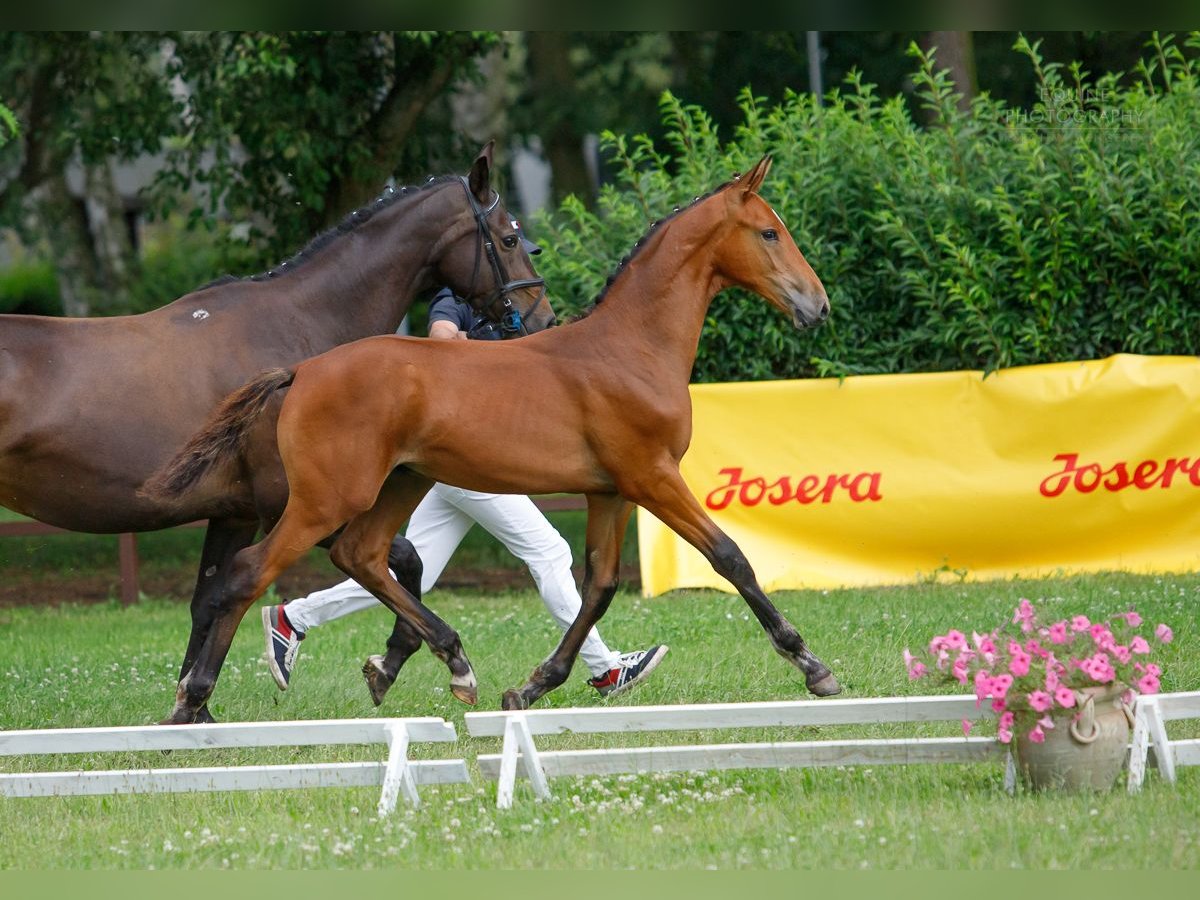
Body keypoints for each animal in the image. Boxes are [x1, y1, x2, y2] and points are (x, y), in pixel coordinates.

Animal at [0, 142, 552, 720]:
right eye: (509, 238)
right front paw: (414, 661)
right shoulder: (294, 504)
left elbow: (209, 601)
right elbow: (396, 557)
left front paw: (193, 710)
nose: (544, 320)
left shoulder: (235, 512)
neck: (297, 330)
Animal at [147, 153, 844, 720]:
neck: (630, 348)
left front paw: (534, 686)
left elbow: (597, 586)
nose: (818, 306)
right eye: (769, 232)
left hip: (399, 484)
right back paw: (192, 700)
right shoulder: (652, 477)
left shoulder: (611, 491)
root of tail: (305, 371)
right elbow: (730, 557)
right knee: (246, 575)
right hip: (327, 499)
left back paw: (450, 665)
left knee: (362, 557)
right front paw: (813, 666)